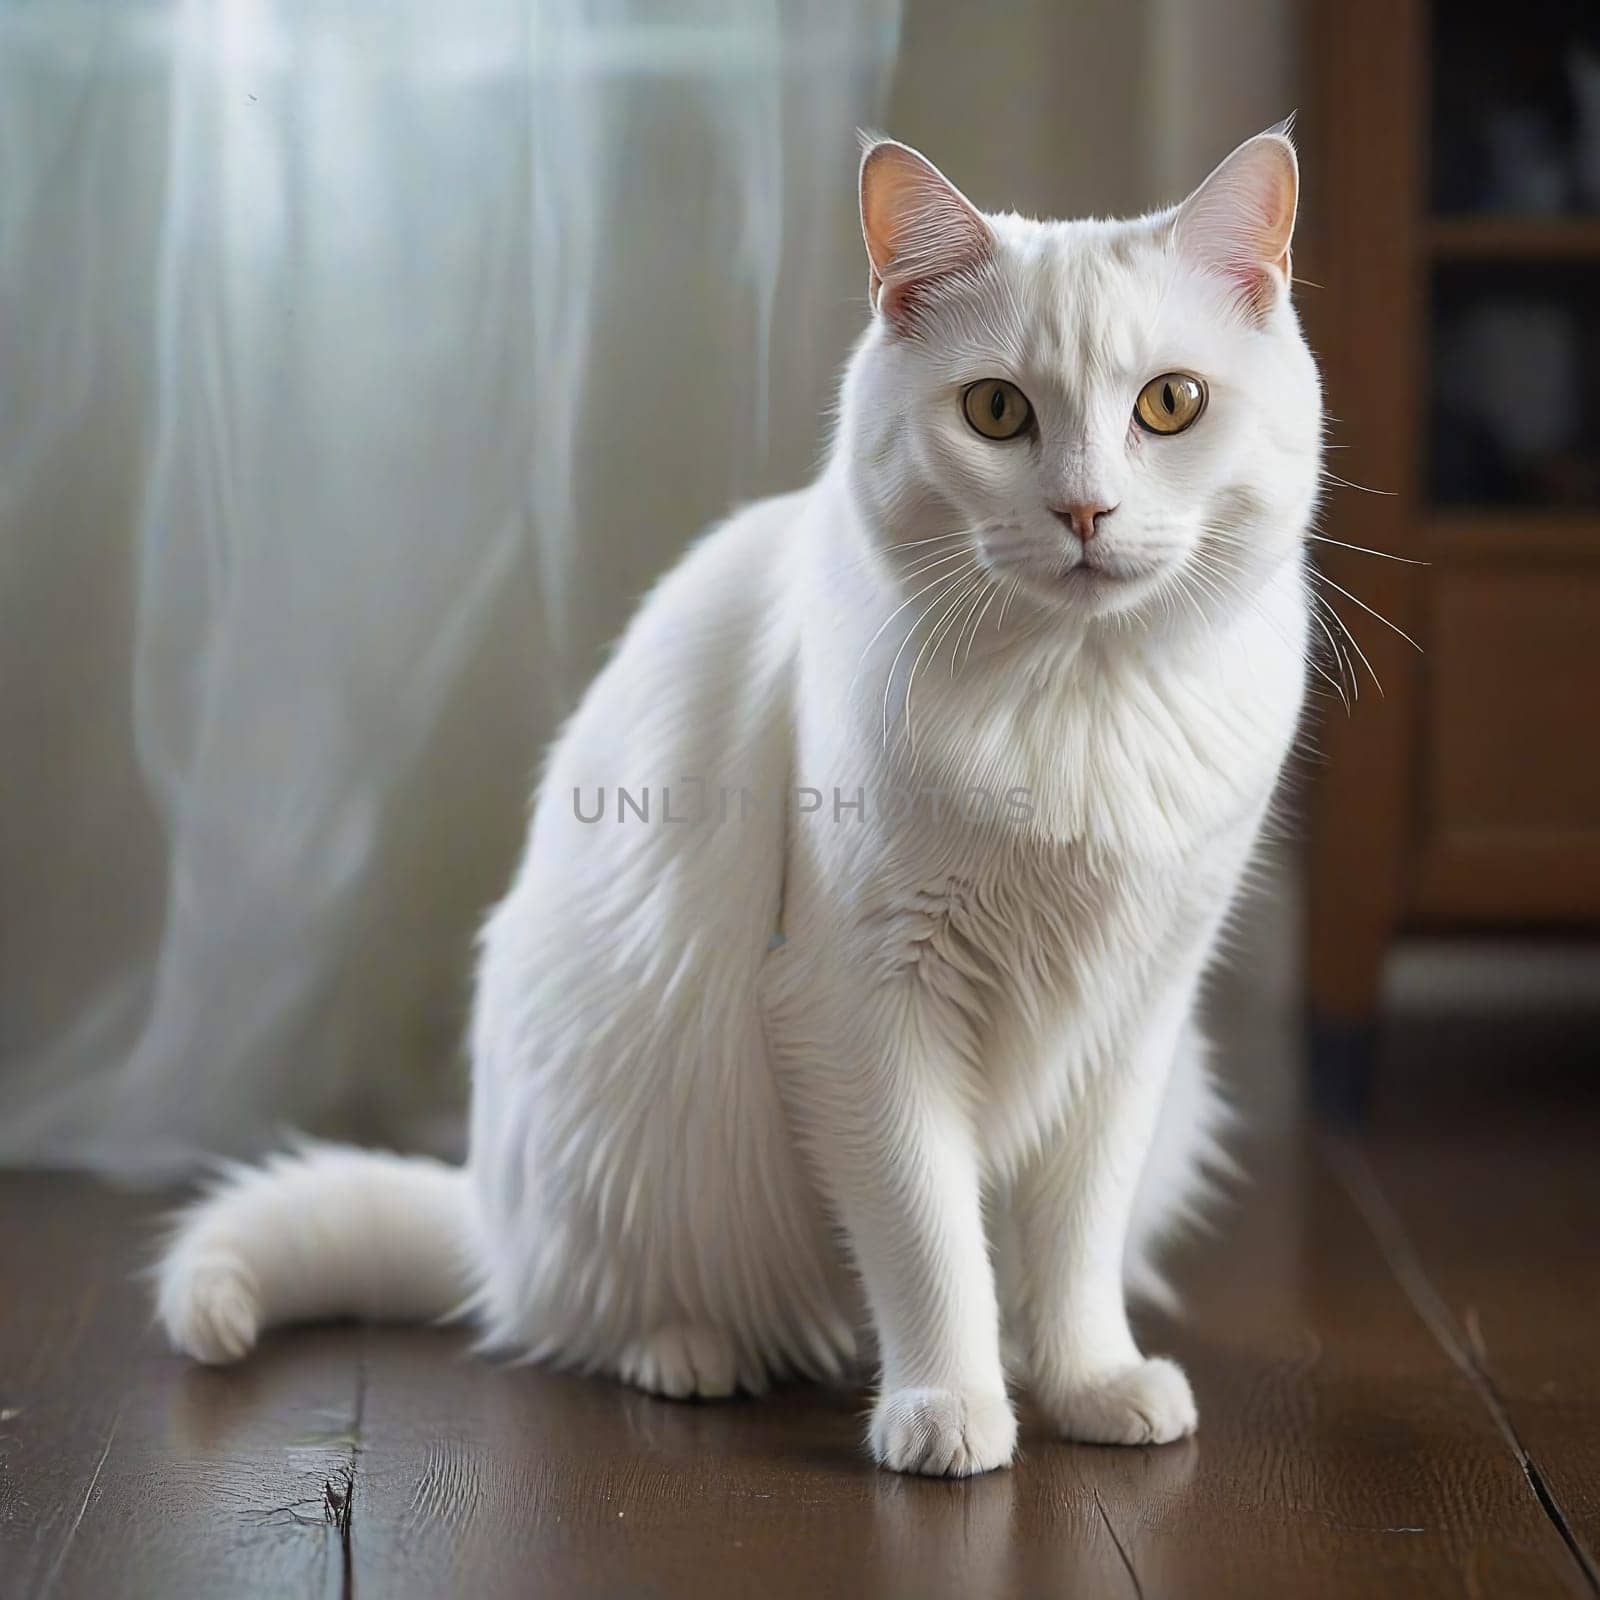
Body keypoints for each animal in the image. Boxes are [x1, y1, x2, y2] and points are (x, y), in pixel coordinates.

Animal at [156, 124, 1318, 1472]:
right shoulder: (860, 1000)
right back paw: (695, 1356)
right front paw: (946, 1408)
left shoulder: (1134, 1017)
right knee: (584, 1315)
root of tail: (490, 1212)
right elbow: (928, 1237)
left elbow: (1072, 1244)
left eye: (1169, 404)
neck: (1077, 702)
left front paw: (1088, 1383)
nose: (1086, 509)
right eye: (997, 410)